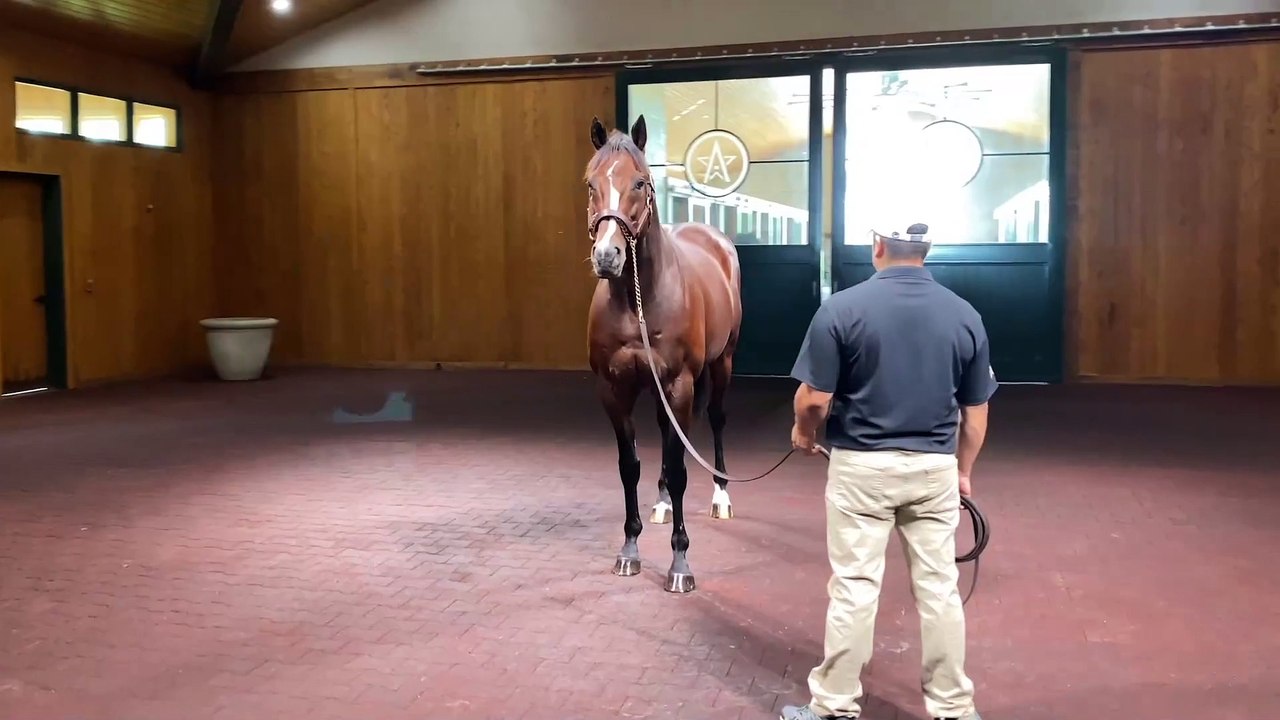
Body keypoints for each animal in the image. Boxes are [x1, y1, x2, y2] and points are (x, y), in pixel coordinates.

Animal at [583, 114, 743, 594]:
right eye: (591, 184)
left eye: (640, 182)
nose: (608, 256)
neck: (639, 300)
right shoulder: (615, 389)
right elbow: (629, 465)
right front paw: (629, 549)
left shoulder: (680, 385)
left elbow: (679, 466)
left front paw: (680, 562)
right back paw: (661, 503)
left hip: (722, 363)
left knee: (716, 420)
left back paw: (722, 496)